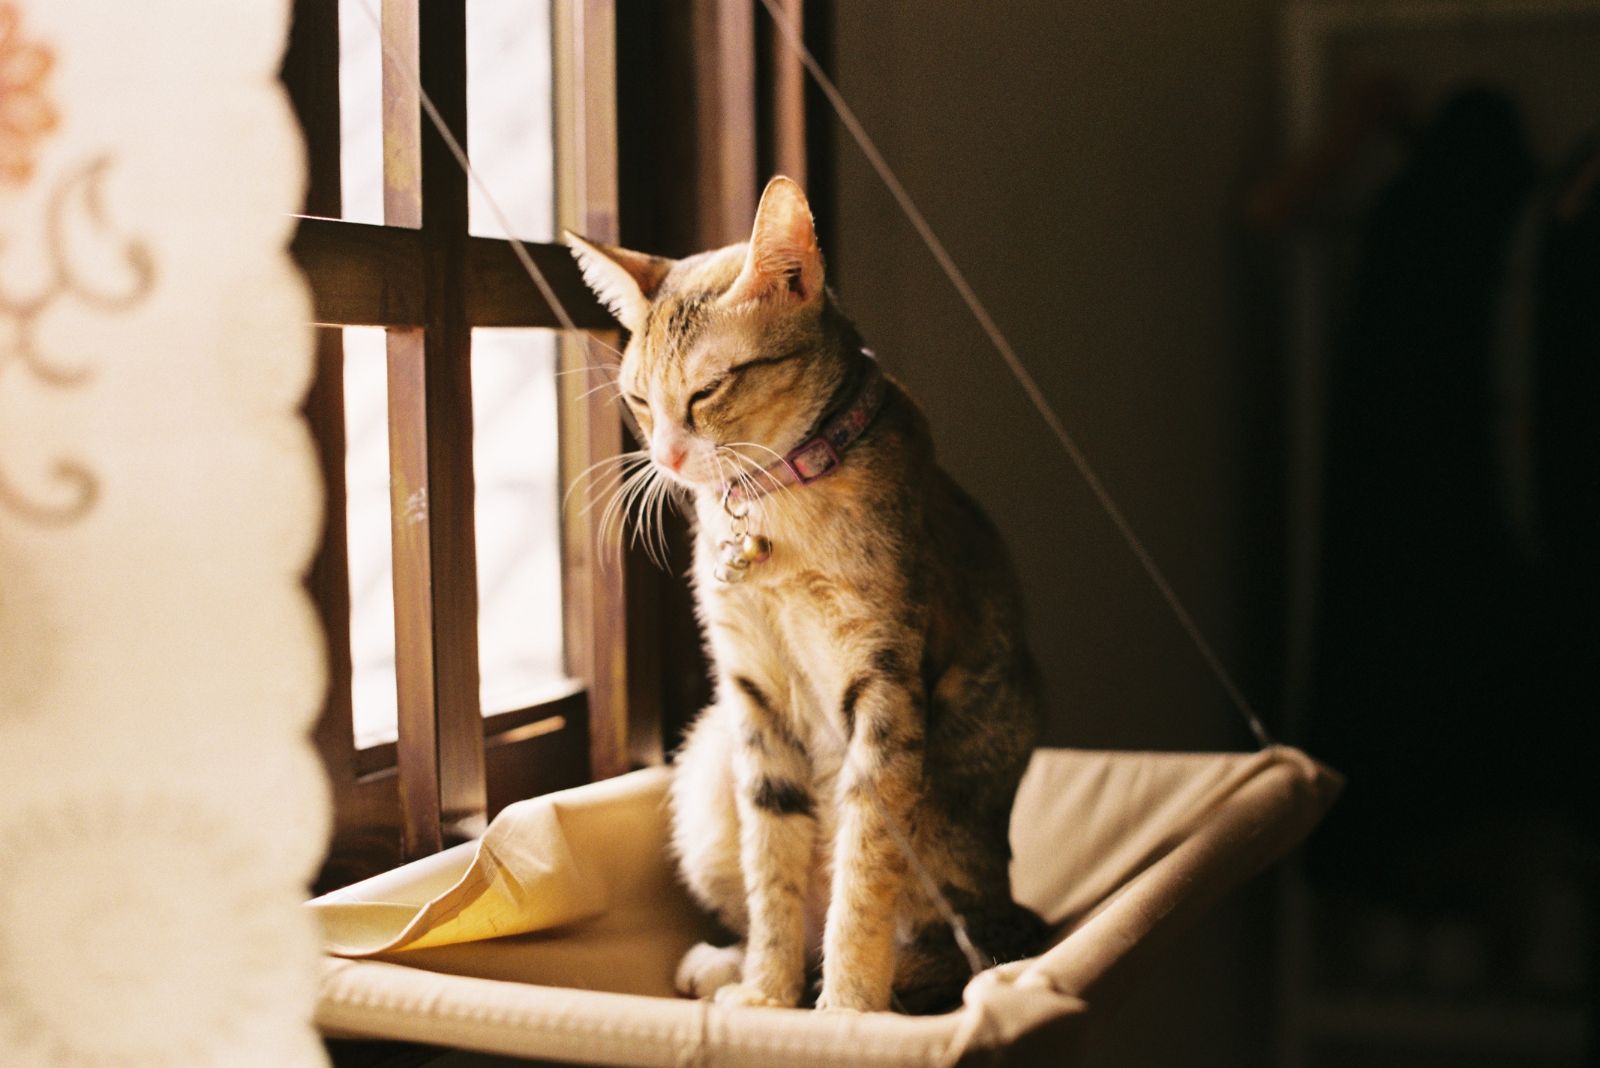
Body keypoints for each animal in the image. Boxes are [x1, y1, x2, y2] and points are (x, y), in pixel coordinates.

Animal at [569, 175, 1043, 1010]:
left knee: (955, 950)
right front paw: (766, 992)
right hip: (707, 763)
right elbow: (773, 861)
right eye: (638, 400)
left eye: (707, 390)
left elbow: (863, 867)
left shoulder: (882, 692)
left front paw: (847, 1006)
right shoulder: (752, 696)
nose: (665, 456)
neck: (776, 505)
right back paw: (730, 965)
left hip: (952, 837)